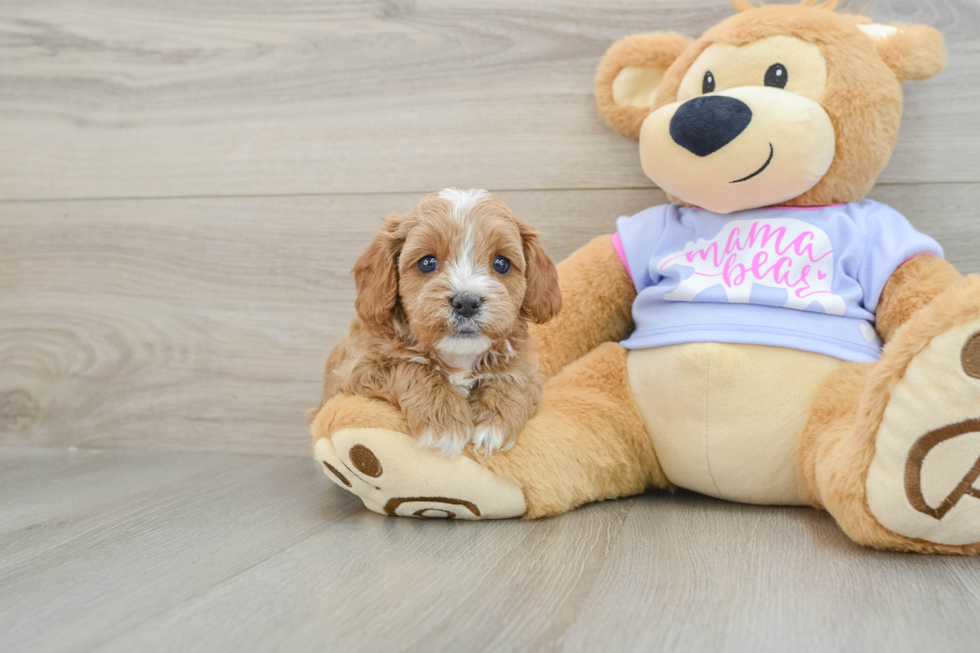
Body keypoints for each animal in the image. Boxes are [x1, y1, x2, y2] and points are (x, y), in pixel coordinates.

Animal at [314, 187, 560, 454]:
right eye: (427, 262)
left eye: (501, 263)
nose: (466, 302)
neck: (458, 355)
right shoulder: (357, 368)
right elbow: (412, 366)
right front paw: (445, 420)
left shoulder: (527, 368)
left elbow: (513, 376)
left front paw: (495, 423)